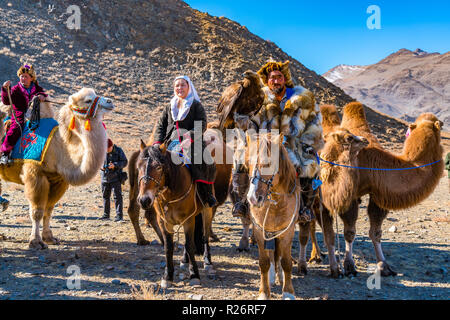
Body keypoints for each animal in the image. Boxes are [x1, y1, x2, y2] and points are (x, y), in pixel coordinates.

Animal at [244, 132, 300, 300]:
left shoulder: (287, 232)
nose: (253, 198)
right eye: (247, 164)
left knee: (279, 255)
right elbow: (264, 262)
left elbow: (286, 262)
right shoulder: (259, 231)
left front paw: (288, 292)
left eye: (268, 163)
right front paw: (264, 292)